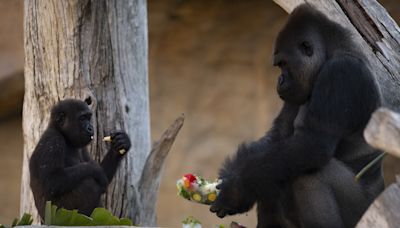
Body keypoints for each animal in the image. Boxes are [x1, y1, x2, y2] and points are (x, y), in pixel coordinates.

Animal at [211, 4, 382, 228]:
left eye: (284, 64)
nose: (280, 81)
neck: (331, 51)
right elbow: (278, 137)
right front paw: (233, 174)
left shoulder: (341, 71)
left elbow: (311, 145)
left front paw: (237, 189)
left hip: (366, 213)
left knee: (308, 176)